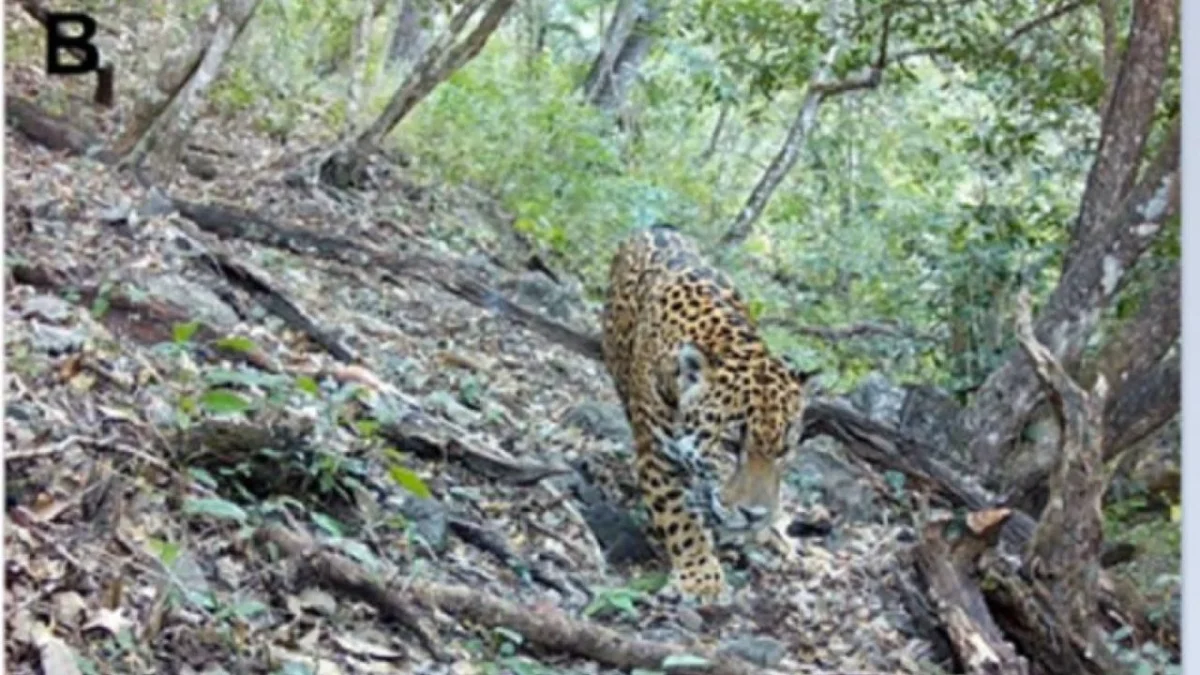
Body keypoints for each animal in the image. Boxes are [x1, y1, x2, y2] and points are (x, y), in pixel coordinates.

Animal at [600, 224, 811, 603]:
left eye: (784, 451)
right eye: (729, 445)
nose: (754, 515)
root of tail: (656, 226)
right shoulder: (656, 454)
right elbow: (679, 518)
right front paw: (702, 579)